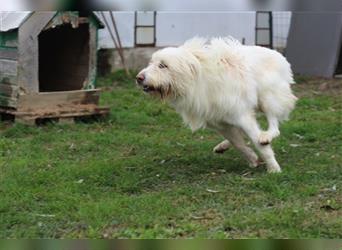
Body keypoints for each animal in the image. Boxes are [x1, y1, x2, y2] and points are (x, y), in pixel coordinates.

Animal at [136, 37, 296, 173]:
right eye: (151, 63)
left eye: (163, 65)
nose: (139, 78)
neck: (198, 79)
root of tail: (279, 55)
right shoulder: (220, 123)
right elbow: (238, 143)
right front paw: (252, 158)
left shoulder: (242, 116)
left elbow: (258, 144)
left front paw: (273, 168)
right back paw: (223, 145)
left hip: (268, 97)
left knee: (274, 126)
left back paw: (266, 136)